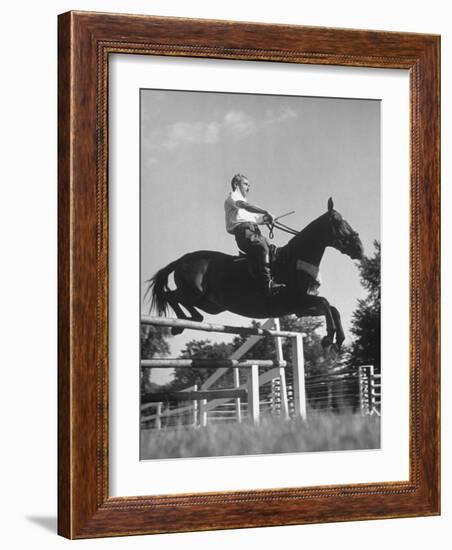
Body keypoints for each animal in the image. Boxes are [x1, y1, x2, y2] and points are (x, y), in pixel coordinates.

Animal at [147, 201, 366, 352]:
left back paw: (190, 319)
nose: (360, 248)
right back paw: (181, 323)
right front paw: (329, 338)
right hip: (194, 292)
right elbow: (325, 302)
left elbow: (332, 308)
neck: (294, 259)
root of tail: (182, 259)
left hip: (210, 304)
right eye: (337, 221)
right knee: (170, 295)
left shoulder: (300, 308)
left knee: (187, 305)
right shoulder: (296, 300)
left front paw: (339, 340)